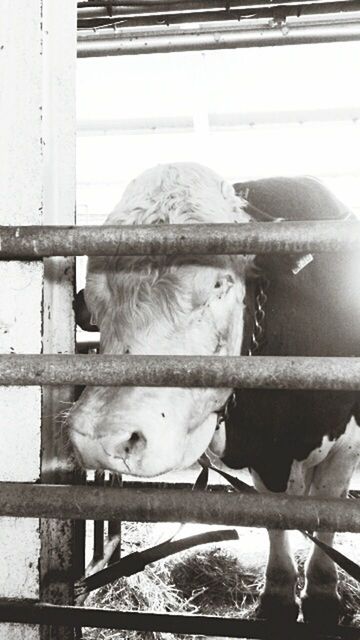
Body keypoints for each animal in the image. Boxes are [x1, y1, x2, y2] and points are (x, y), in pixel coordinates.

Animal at [68, 164, 360, 624]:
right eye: (96, 297)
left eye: (220, 284)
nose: (101, 439)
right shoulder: (266, 455)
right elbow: (277, 514)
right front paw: (279, 595)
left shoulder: (345, 443)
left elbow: (328, 507)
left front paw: (321, 594)